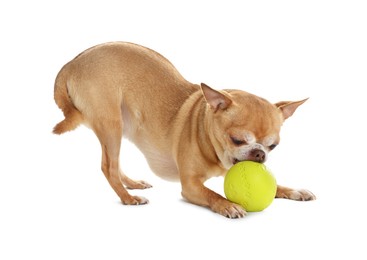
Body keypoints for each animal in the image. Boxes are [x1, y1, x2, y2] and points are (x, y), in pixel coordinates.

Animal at [52, 42, 316, 217]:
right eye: (237, 140)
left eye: (273, 146)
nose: (259, 154)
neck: (203, 129)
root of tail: (71, 63)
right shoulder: (190, 187)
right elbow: (212, 194)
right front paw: (228, 204)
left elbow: (277, 186)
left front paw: (294, 191)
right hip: (111, 124)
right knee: (108, 166)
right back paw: (128, 198)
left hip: (121, 126)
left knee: (114, 165)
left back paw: (132, 184)